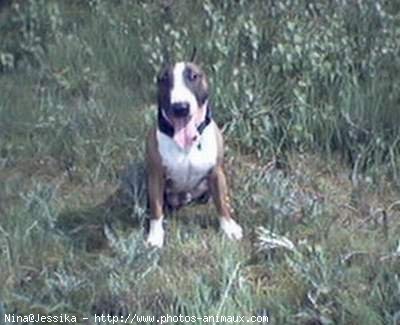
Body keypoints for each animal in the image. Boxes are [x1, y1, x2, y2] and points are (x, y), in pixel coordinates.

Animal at [145, 60, 242, 246]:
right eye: (163, 79)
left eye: (194, 76)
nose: (180, 107)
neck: (187, 144)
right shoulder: (155, 175)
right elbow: (156, 208)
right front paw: (155, 236)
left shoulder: (216, 173)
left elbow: (221, 203)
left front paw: (228, 227)